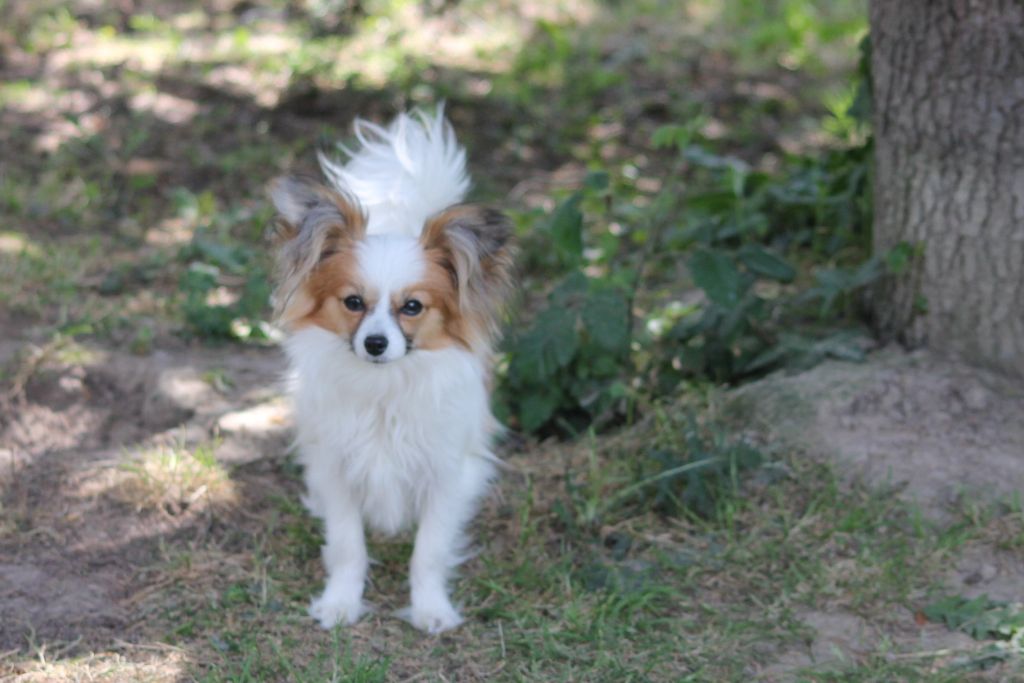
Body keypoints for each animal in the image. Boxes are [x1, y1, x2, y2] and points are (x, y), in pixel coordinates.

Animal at [270, 104, 516, 634]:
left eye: (413, 307)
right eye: (353, 303)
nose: (376, 343)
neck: (385, 386)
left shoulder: (446, 472)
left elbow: (429, 551)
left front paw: (431, 609)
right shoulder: (336, 467)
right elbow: (348, 546)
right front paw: (340, 603)